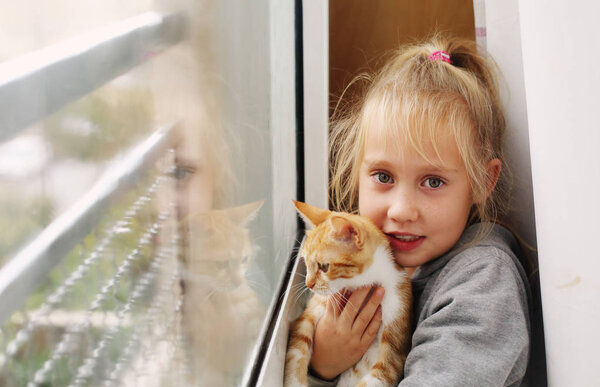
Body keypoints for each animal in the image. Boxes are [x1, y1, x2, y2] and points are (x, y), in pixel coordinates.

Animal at [286, 202, 412, 386]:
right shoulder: (312, 311)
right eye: (306, 263)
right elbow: (296, 351)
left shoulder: (396, 345)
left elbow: (381, 374)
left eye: (324, 266)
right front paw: (295, 381)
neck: (361, 283)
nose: (308, 284)